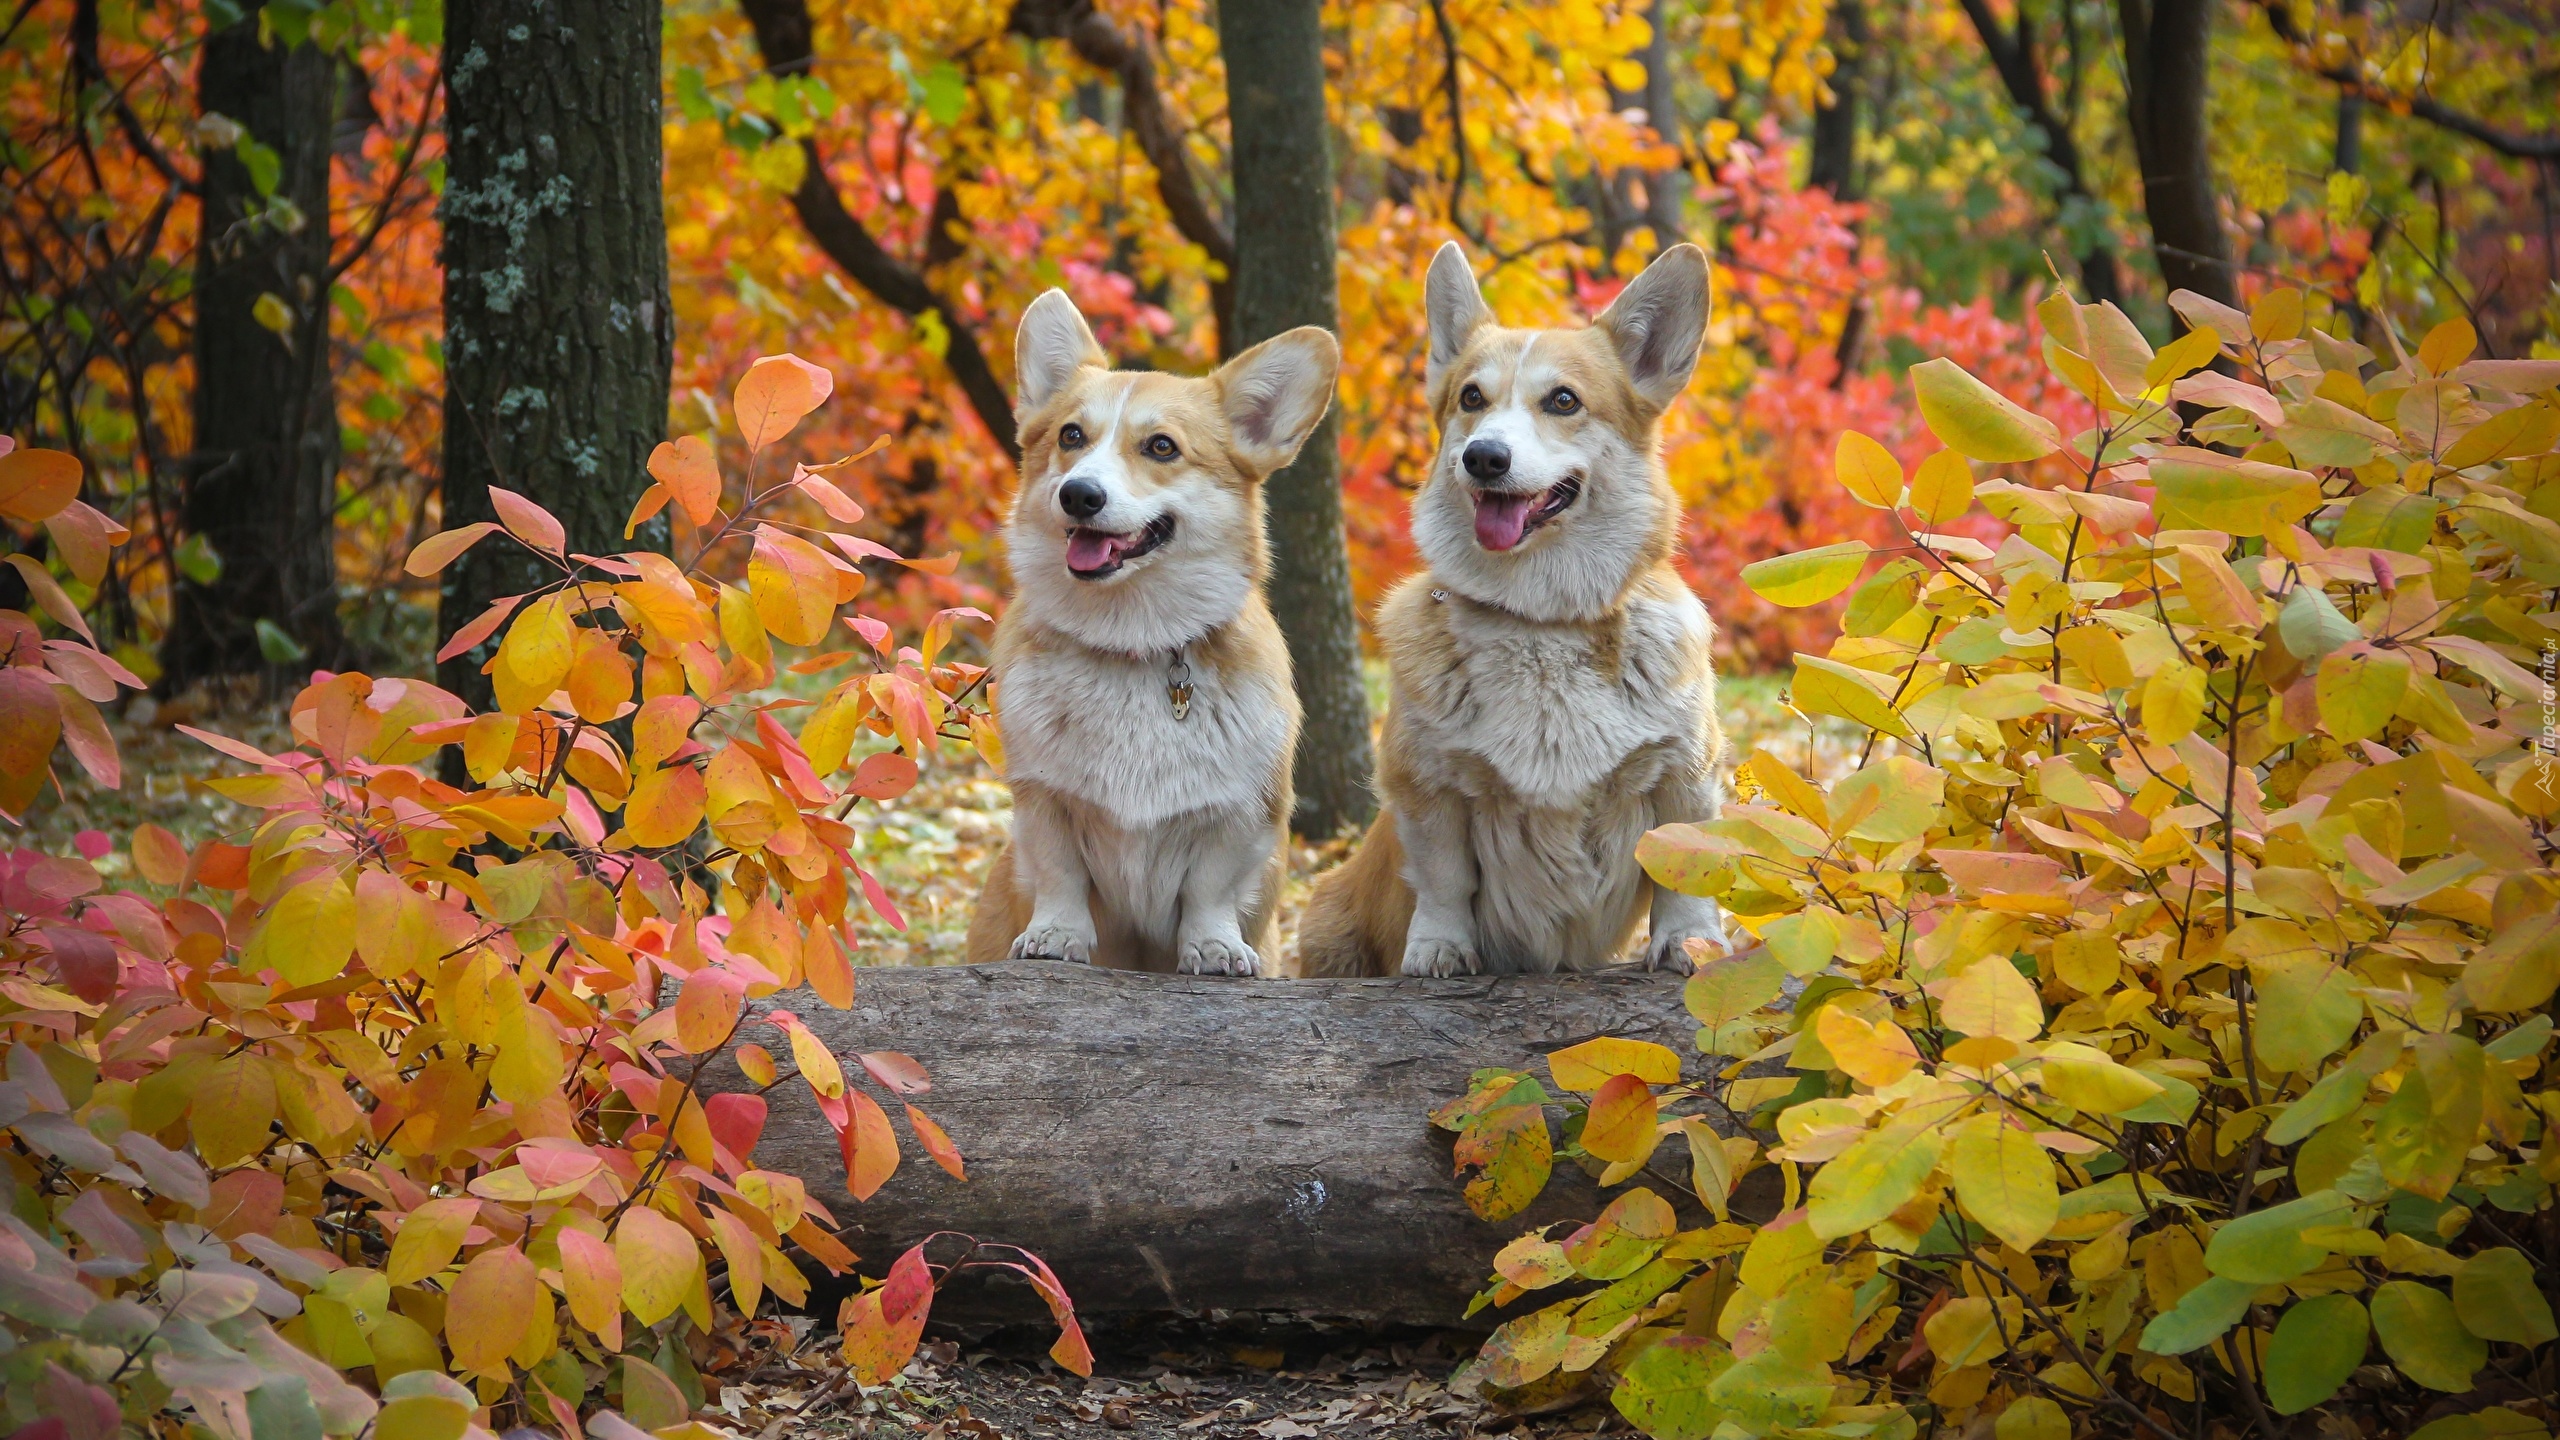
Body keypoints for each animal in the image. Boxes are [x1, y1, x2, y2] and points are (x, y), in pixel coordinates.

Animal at [952, 285, 1331, 968]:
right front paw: (1056, 938)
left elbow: (1211, 889)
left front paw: (1213, 948)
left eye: (1161, 447)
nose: (1079, 495)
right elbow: (1060, 875)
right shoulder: (1043, 800)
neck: (1133, 642)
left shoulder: (1239, 817)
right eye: (1072, 435)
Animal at [1300, 240, 1740, 973]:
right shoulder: (1428, 786)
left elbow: (1684, 868)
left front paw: (1691, 943)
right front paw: (1439, 951)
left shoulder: (1685, 768)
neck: (1541, 621)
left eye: (1563, 400)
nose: (1484, 457)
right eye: (1471, 398)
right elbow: (1444, 878)